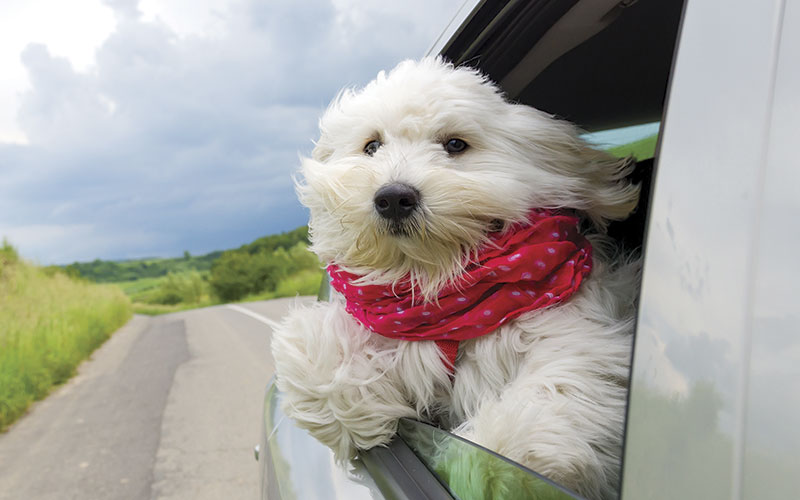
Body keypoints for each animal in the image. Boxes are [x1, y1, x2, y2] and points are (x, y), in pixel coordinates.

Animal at [272, 56, 640, 498]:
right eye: (372, 146)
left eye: (455, 144)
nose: (393, 197)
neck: (440, 283)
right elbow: (313, 356)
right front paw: (368, 418)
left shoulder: (580, 337)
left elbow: (555, 394)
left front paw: (487, 472)